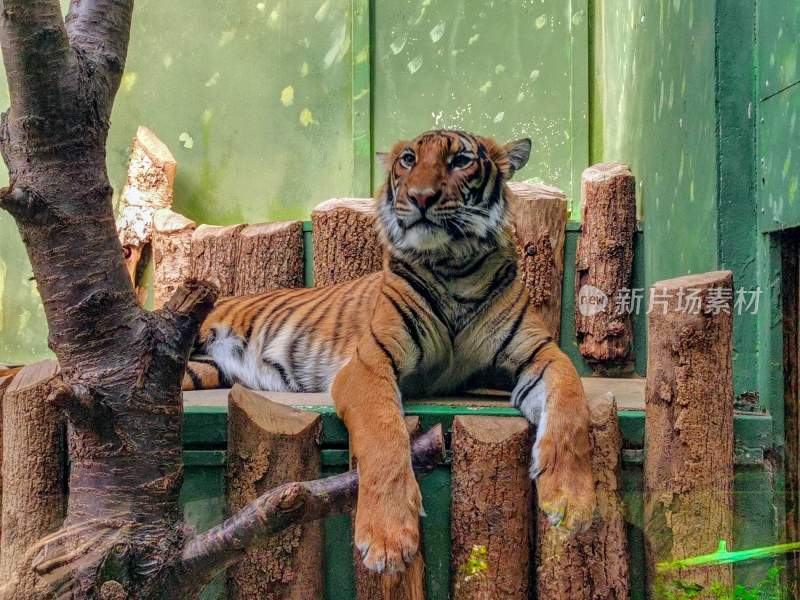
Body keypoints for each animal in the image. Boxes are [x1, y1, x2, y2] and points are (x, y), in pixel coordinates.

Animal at [183, 129, 592, 576]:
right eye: (408, 160)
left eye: (461, 161)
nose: (421, 197)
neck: (456, 268)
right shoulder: (368, 363)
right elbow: (384, 435)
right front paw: (387, 539)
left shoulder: (541, 352)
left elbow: (571, 409)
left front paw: (572, 501)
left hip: (202, 370)